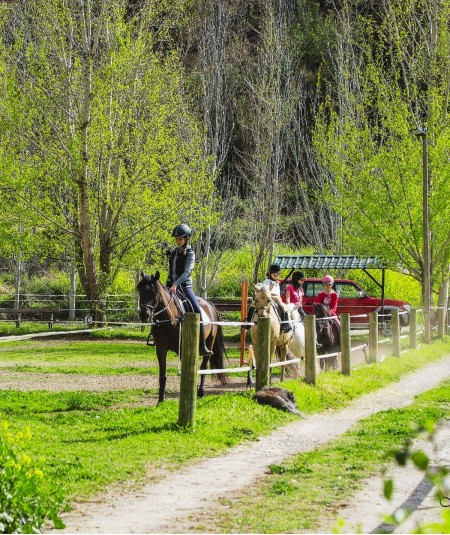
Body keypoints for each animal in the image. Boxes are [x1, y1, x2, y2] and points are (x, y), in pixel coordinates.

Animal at [136, 272, 227, 402]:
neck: (170, 319)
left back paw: (201, 392)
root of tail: (209, 304)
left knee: (204, 366)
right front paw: (160, 400)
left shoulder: (183, 350)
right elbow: (162, 374)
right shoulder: (161, 349)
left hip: (209, 342)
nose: (144, 315)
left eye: (154, 292)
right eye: (140, 290)